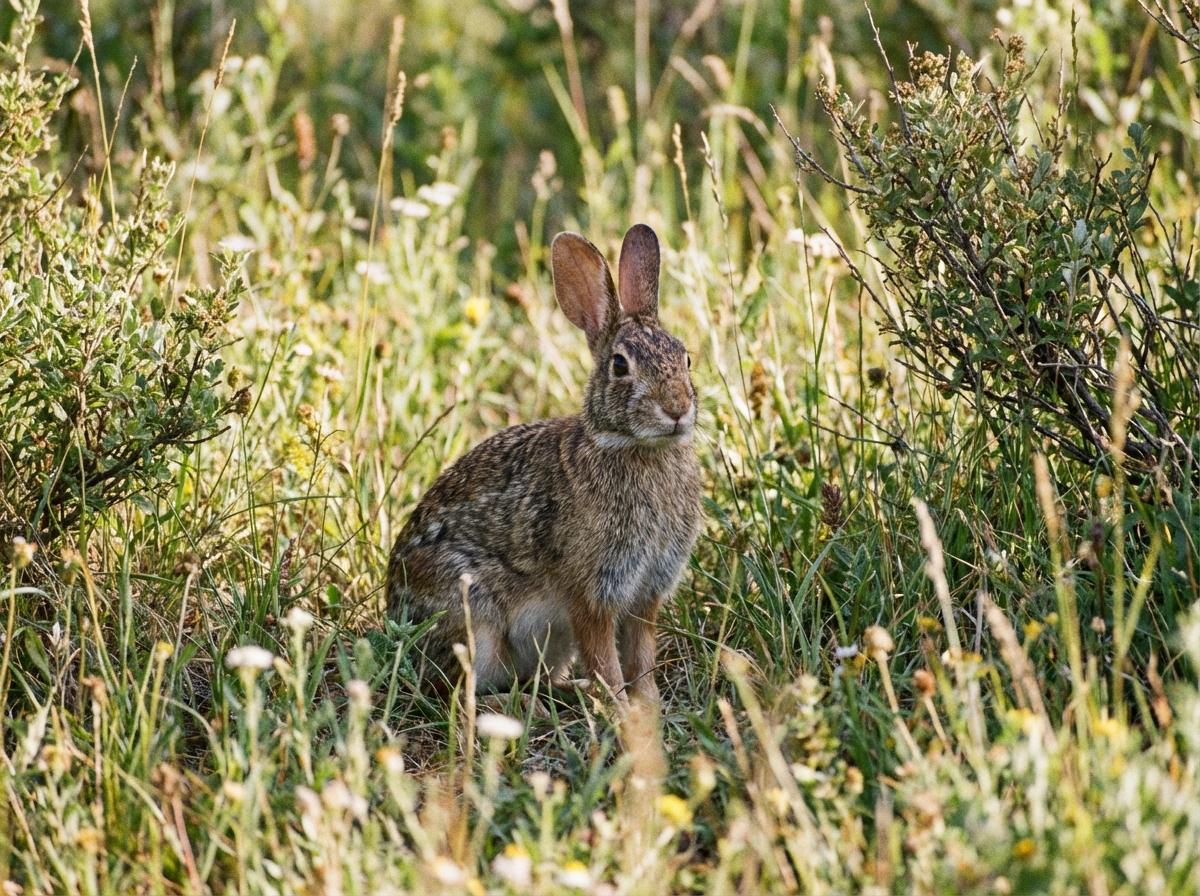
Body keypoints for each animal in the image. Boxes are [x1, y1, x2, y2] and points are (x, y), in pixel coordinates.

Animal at [386, 224, 701, 705]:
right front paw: (619, 707)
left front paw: (647, 704)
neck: (635, 448)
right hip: (473, 615)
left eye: (685, 358)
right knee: (454, 689)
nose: (678, 409)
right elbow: (604, 655)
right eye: (619, 365)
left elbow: (641, 653)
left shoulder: (647, 592)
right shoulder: (591, 592)